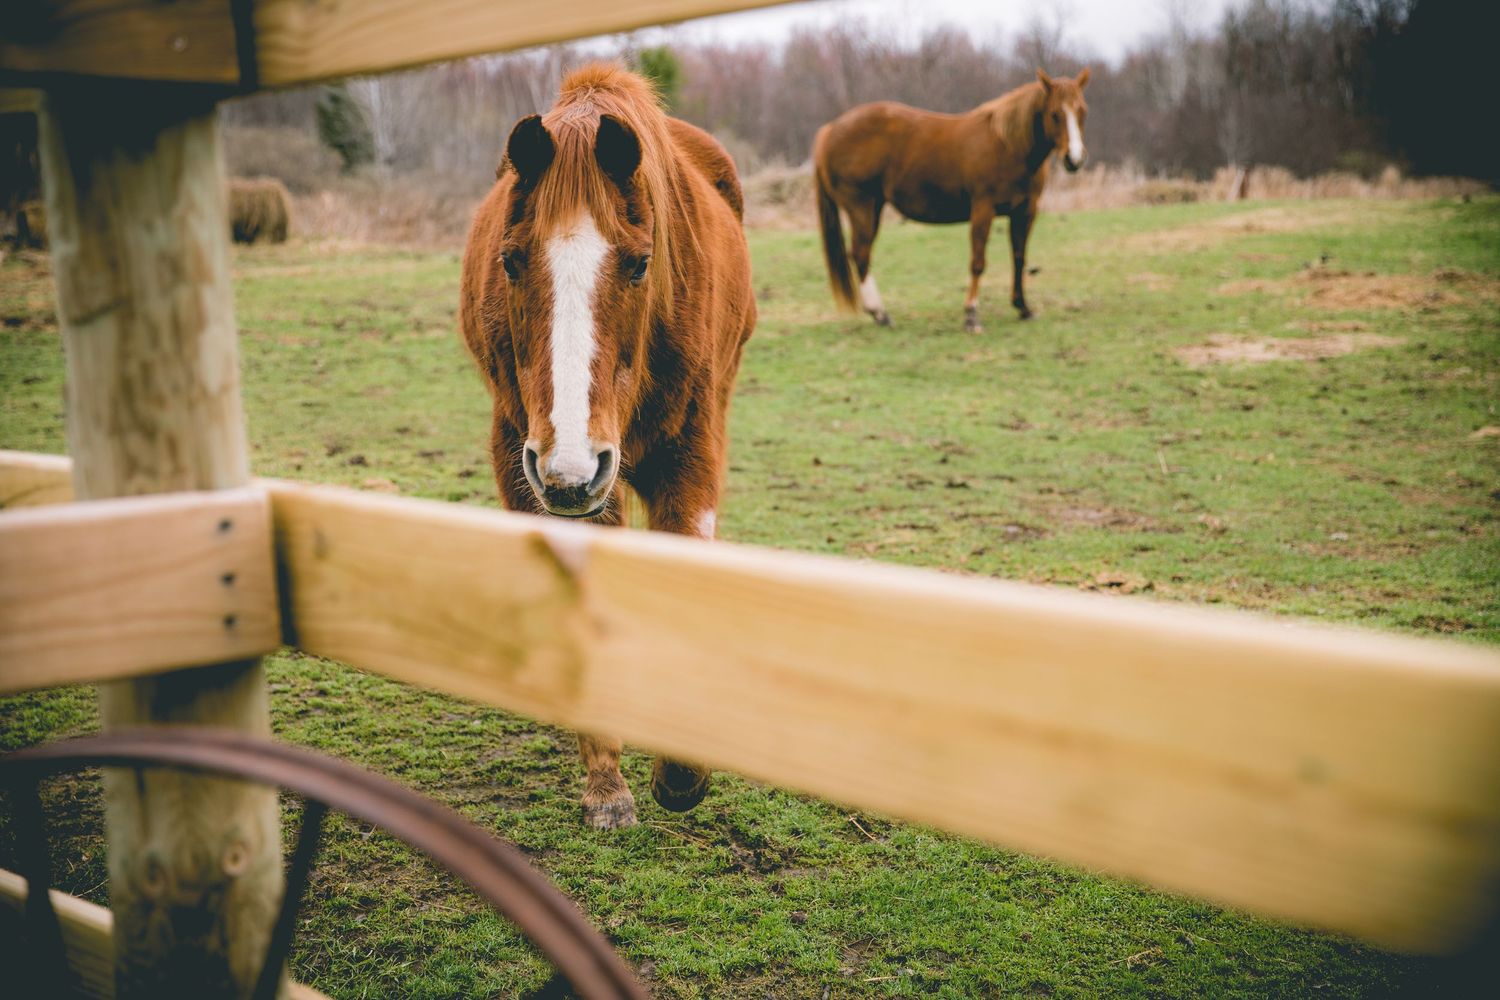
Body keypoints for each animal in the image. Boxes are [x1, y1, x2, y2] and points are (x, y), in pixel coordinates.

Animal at [459, 64, 757, 829]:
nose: (569, 467)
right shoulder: (526, 459)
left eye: (639, 264)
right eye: (510, 261)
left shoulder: (689, 454)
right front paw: (606, 783)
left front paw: (681, 773)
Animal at [814, 68, 1091, 332]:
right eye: (1055, 114)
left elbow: (1019, 257)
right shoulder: (983, 210)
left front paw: (1023, 308)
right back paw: (880, 313)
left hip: (874, 209)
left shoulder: (1025, 212)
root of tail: (830, 130)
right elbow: (978, 262)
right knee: (861, 254)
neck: (1007, 145)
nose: (1074, 159)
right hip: (861, 206)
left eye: (1082, 111)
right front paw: (971, 316)